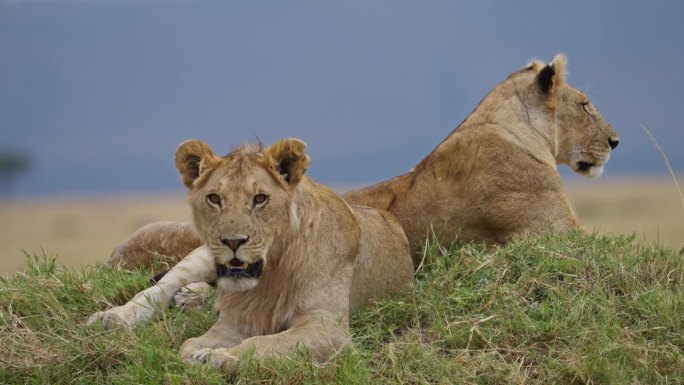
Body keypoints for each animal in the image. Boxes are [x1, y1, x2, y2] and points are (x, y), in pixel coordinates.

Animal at [89, 139, 414, 372]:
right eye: (214, 198)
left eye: (260, 199)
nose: (233, 241)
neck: (272, 270)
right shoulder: (234, 322)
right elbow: (188, 344)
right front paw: (207, 353)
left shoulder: (328, 329)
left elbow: (263, 344)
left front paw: (219, 358)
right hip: (201, 256)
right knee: (158, 289)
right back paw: (114, 317)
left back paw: (191, 298)